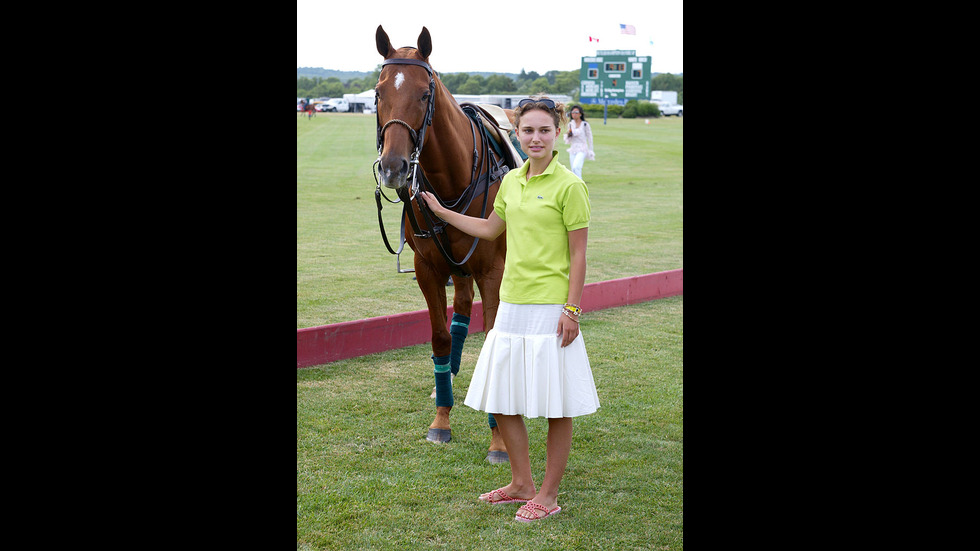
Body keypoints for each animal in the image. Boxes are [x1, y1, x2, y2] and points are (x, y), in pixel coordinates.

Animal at [372, 27, 516, 466]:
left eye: (424, 93)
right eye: (378, 93)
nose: (394, 167)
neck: (453, 176)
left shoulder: (493, 271)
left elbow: (493, 341)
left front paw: (500, 441)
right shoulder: (430, 270)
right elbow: (439, 337)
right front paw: (441, 420)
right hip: (458, 269)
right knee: (461, 316)